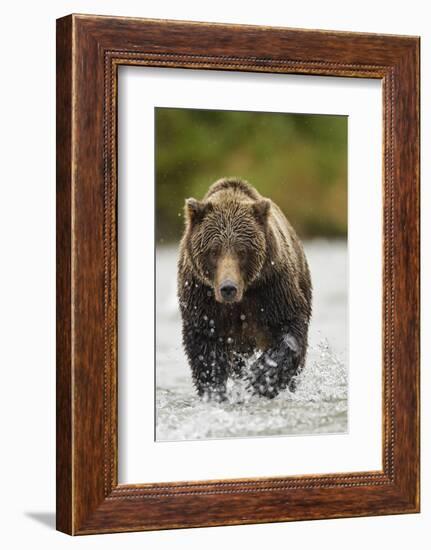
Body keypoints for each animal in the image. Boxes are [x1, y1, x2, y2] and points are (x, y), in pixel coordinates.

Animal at [177, 179, 312, 404]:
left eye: (242, 251)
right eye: (213, 251)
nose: (228, 288)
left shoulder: (271, 287)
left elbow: (289, 327)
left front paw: (261, 378)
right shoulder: (202, 297)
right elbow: (204, 346)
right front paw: (215, 390)